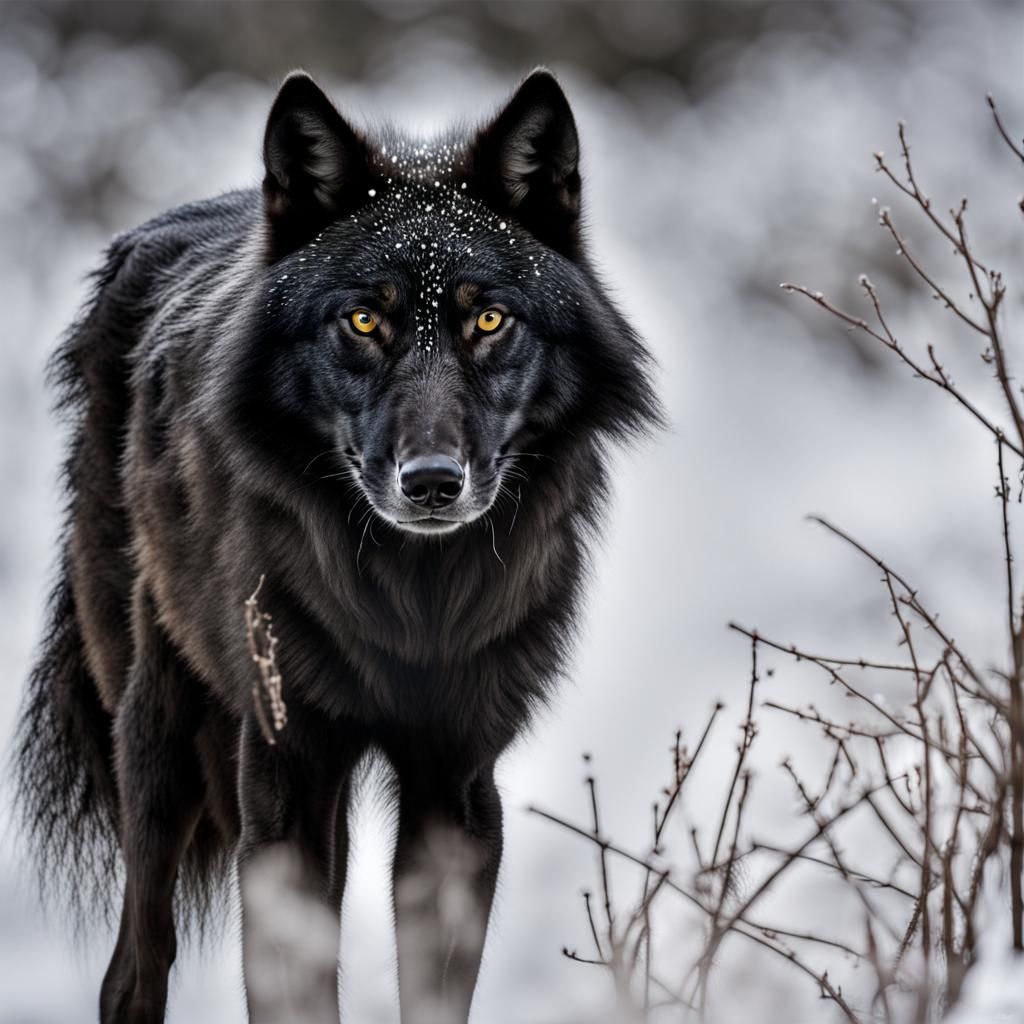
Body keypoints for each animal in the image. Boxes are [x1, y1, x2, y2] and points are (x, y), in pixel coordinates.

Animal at [14, 68, 661, 1022]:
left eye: (489, 321)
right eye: (362, 321)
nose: (432, 483)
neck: (411, 601)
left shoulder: (456, 787)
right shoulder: (283, 777)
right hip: (161, 740)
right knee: (134, 969)